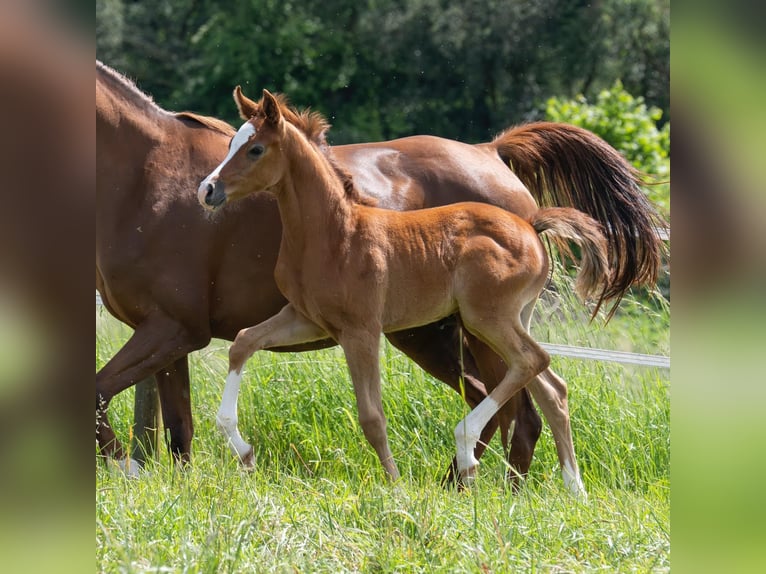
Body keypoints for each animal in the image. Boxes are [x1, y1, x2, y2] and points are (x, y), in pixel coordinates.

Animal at [198, 90, 612, 496]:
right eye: (232, 143)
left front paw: (396, 489)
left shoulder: (361, 331)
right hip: (511, 319)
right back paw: (574, 486)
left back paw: (468, 451)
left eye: (255, 149)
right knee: (552, 387)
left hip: (486, 318)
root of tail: (531, 226)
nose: (208, 189)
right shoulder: (306, 319)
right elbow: (243, 342)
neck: (334, 233)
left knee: (531, 361)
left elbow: (372, 416)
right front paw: (242, 448)